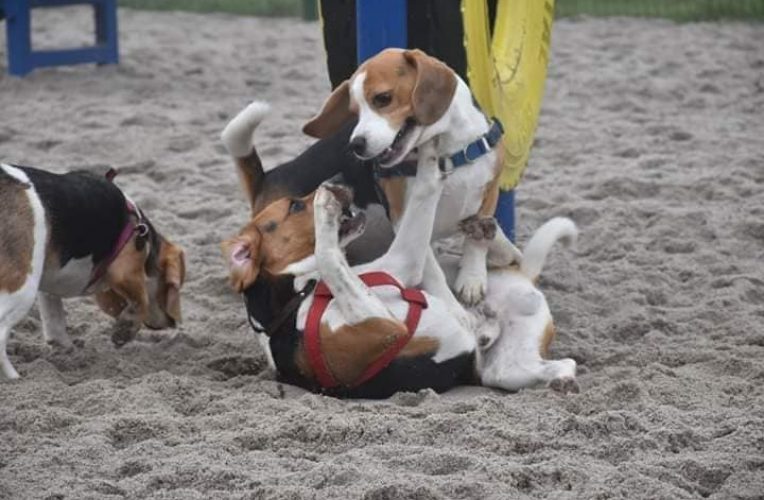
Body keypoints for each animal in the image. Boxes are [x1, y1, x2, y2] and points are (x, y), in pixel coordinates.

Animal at [0, 164, 185, 378]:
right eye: (171, 286)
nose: (173, 323)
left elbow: (54, 319)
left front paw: (69, 353)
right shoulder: (125, 271)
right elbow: (141, 300)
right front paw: (124, 331)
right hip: (22, 289)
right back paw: (14, 377)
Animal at [302, 47, 524, 312]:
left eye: (383, 98)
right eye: (355, 112)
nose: (356, 144)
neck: (451, 152)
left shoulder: (490, 193)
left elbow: (476, 243)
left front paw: (472, 279)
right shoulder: (404, 216)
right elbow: (431, 270)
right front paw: (451, 307)